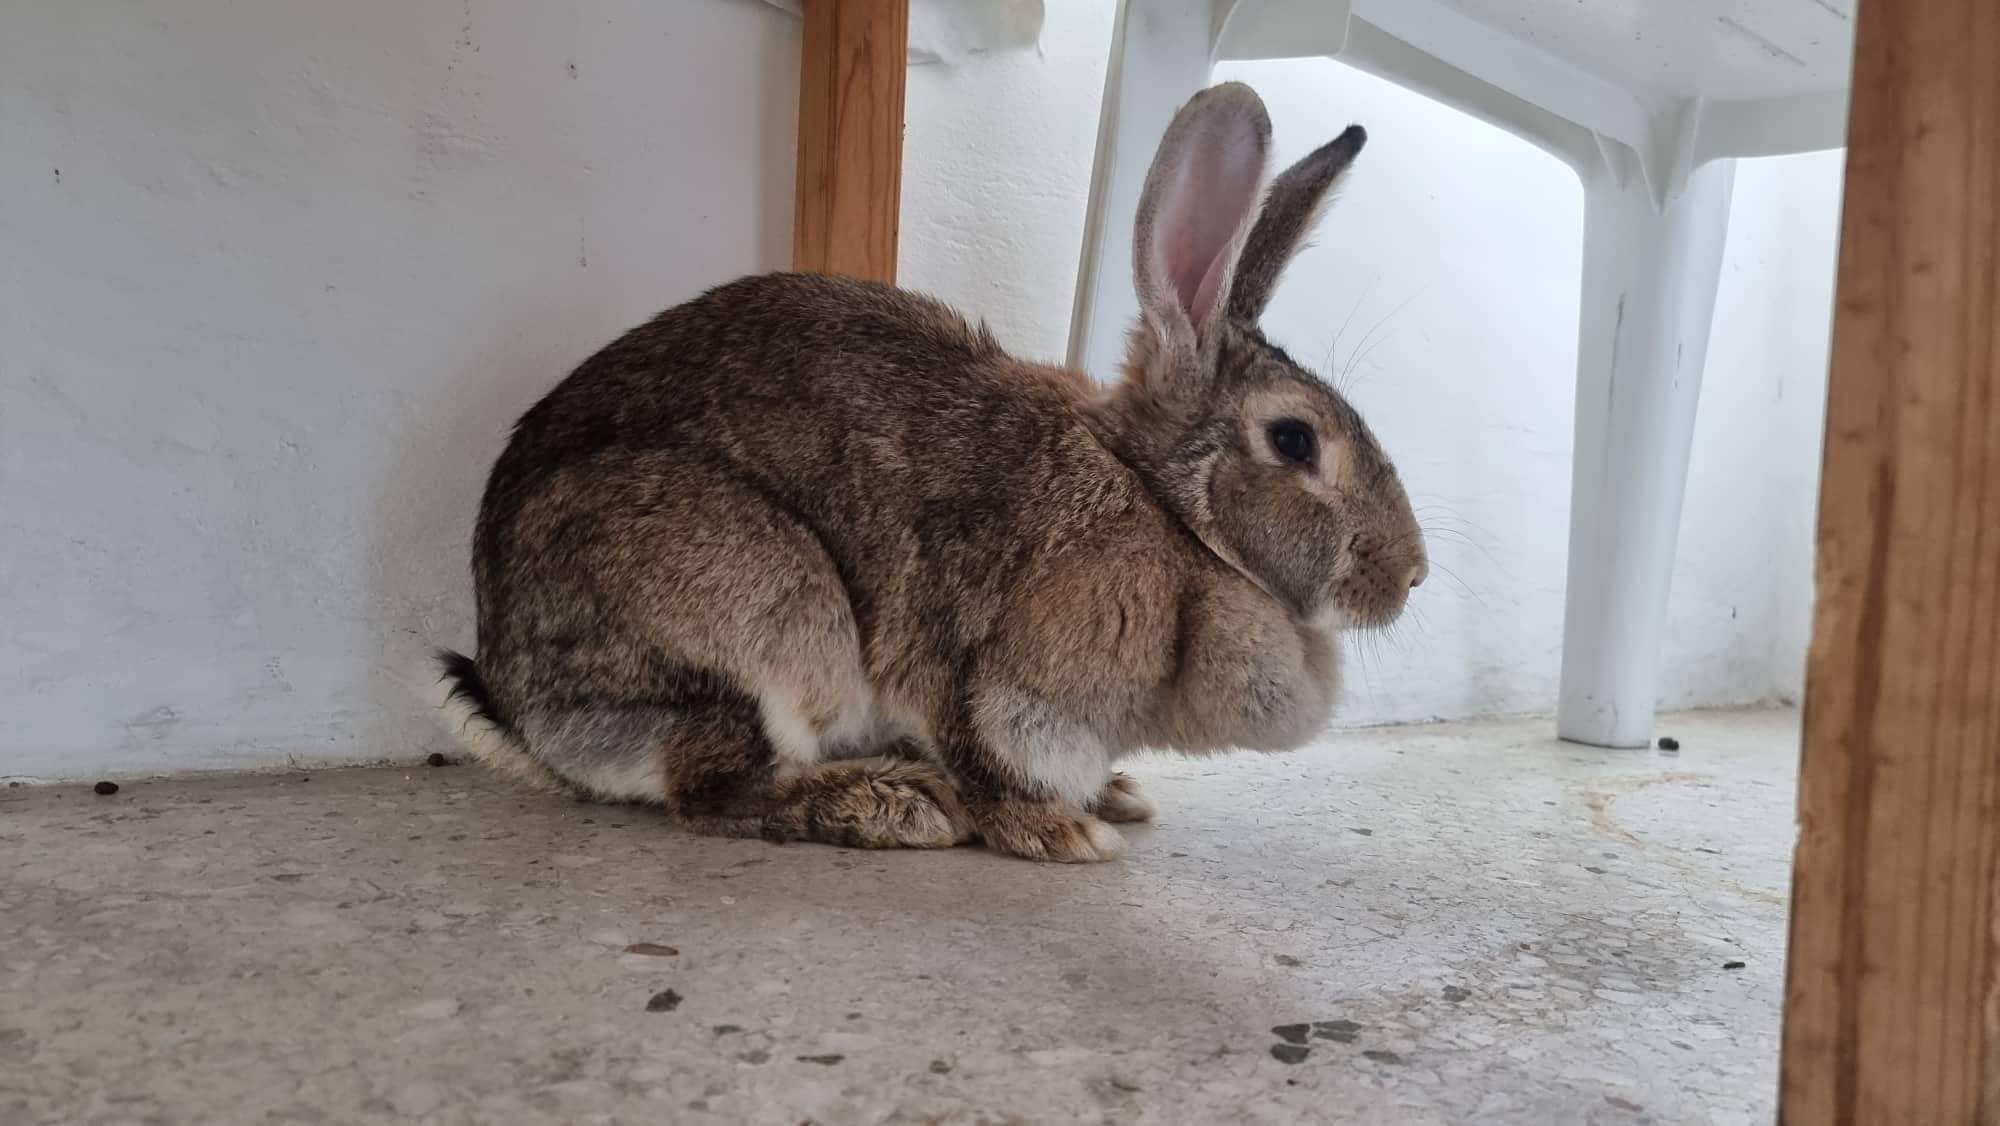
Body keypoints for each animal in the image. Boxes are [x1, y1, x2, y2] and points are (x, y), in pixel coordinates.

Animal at [432, 81, 1426, 862]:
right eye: (1293, 441)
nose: (1411, 575)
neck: (1163, 507)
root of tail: (520, 712)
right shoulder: (1000, 684)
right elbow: (988, 758)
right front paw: (1064, 832)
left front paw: (1115, 796)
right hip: (765, 609)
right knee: (714, 790)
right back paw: (895, 805)